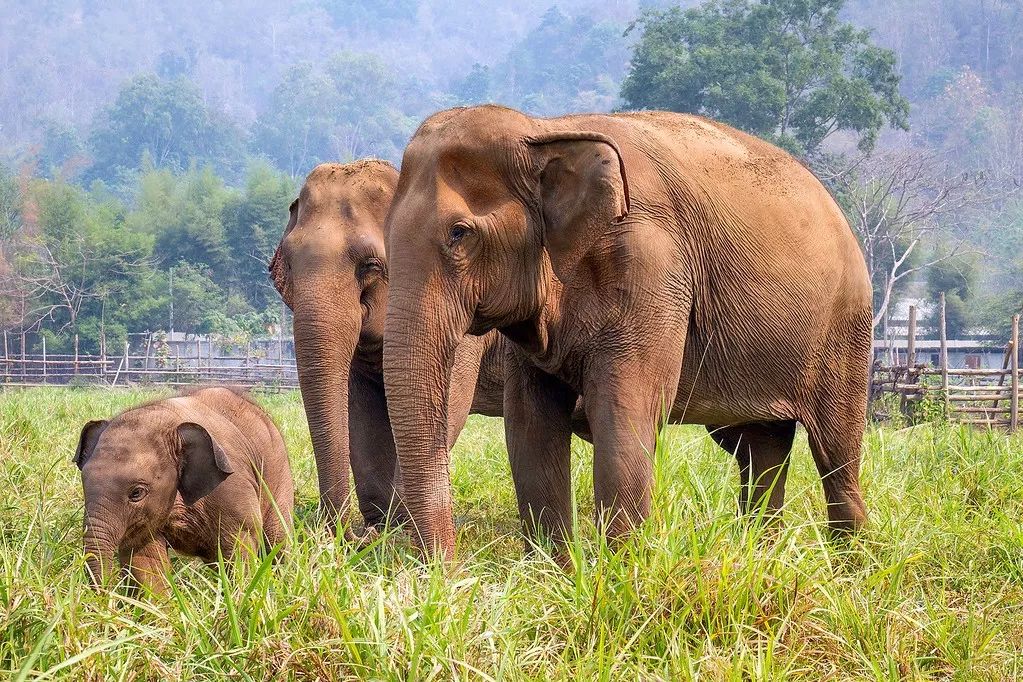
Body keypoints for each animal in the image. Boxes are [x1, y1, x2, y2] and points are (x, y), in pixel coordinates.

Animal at [74, 386, 292, 593]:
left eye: (136, 493)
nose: (107, 596)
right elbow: (145, 559)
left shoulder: (232, 486)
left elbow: (239, 545)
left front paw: (241, 597)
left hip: (279, 472)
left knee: (277, 540)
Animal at [263, 161, 503, 539]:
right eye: (286, 266)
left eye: (370, 267)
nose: (345, 535)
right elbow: (362, 407)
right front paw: (379, 526)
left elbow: (447, 402)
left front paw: (396, 527)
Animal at [384, 105, 871, 560]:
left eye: (459, 233)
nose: (449, 570)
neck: (546, 130)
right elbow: (529, 425)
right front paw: (558, 574)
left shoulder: (651, 265)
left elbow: (623, 414)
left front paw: (620, 572)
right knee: (761, 449)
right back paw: (761, 555)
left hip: (845, 332)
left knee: (835, 453)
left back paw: (850, 562)